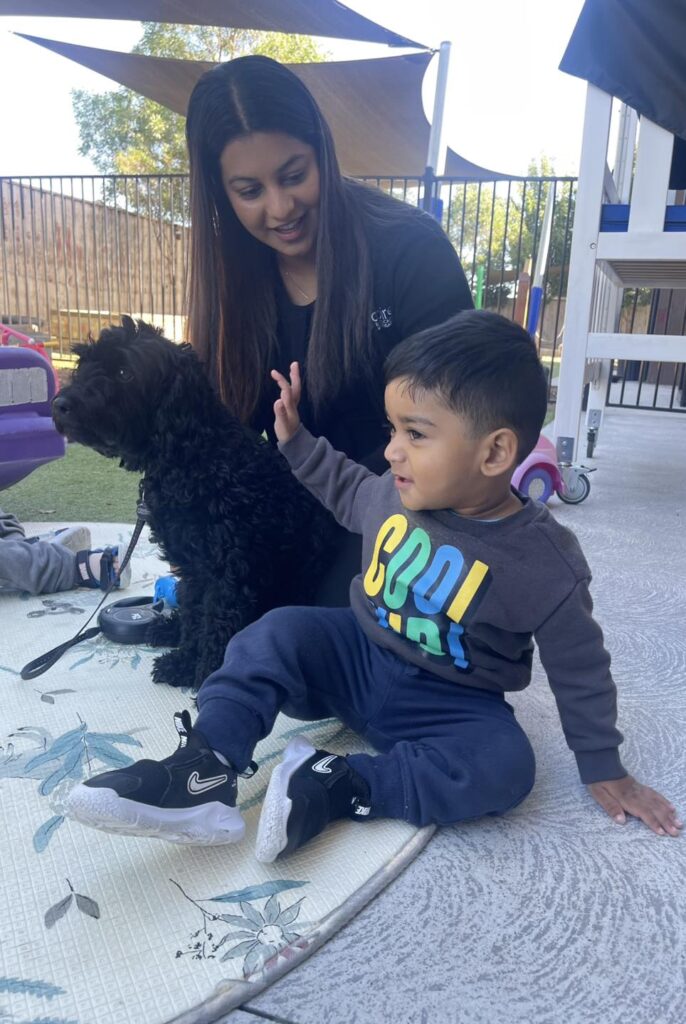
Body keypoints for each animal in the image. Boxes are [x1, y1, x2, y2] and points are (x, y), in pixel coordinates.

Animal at [52, 317, 340, 689]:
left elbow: (216, 623)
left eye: (124, 372)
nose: (60, 404)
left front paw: (207, 674)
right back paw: (167, 628)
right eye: (84, 362)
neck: (196, 458)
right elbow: (194, 616)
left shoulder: (229, 572)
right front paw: (185, 661)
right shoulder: (194, 567)